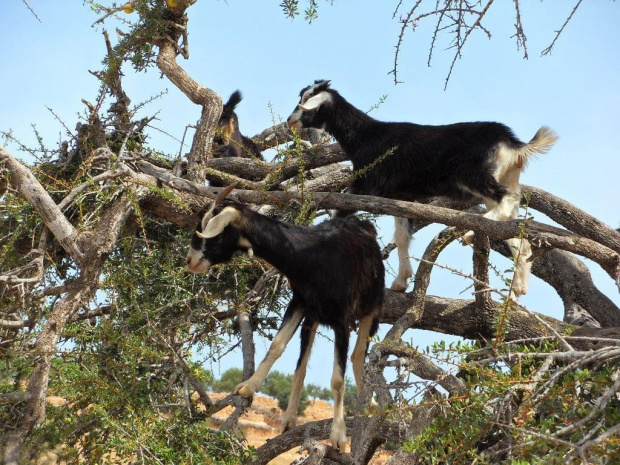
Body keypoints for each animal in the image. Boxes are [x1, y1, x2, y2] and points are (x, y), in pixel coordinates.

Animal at [186, 184, 386, 450]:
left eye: (212, 230)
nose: (191, 261)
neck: (309, 255)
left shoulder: (341, 320)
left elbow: (337, 380)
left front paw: (338, 435)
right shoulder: (299, 303)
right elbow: (277, 345)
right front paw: (248, 387)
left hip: (371, 307)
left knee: (357, 355)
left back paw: (370, 407)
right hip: (312, 318)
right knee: (302, 365)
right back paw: (290, 418)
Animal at [286, 79, 556, 298]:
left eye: (306, 103)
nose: (290, 121)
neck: (365, 137)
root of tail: (513, 144)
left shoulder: (363, 186)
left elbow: (337, 217)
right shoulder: (402, 198)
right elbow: (402, 236)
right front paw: (401, 282)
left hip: (472, 174)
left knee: (506, 200)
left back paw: (469, 231)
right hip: (503, 177)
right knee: (515, 229)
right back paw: (518, 287)